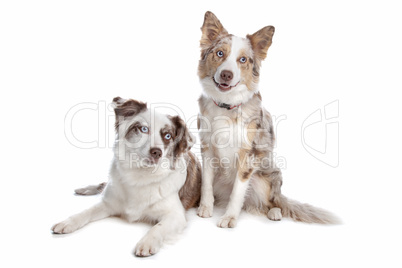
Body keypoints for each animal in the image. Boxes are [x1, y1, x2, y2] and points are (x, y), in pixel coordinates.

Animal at [51, 97, 201, 256]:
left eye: (168, 136)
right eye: (144, 129)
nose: (157, 152)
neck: (140, 175)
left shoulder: (175, 215)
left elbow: (158, 227)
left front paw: (147, 242)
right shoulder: (108, 203)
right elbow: (86, 212)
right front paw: (68, 222)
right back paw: (83, 189)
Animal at [196, 11, 340, 227]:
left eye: (243, 59)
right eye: (220, 54)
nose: (226, 75)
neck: (227, 106)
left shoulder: (249, 154)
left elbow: (238, 192)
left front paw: (229, 217)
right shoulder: (207, 148)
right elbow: (206, 184)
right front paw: (205, 208)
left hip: (267, 178)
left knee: (272, 202)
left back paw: (275, 213)